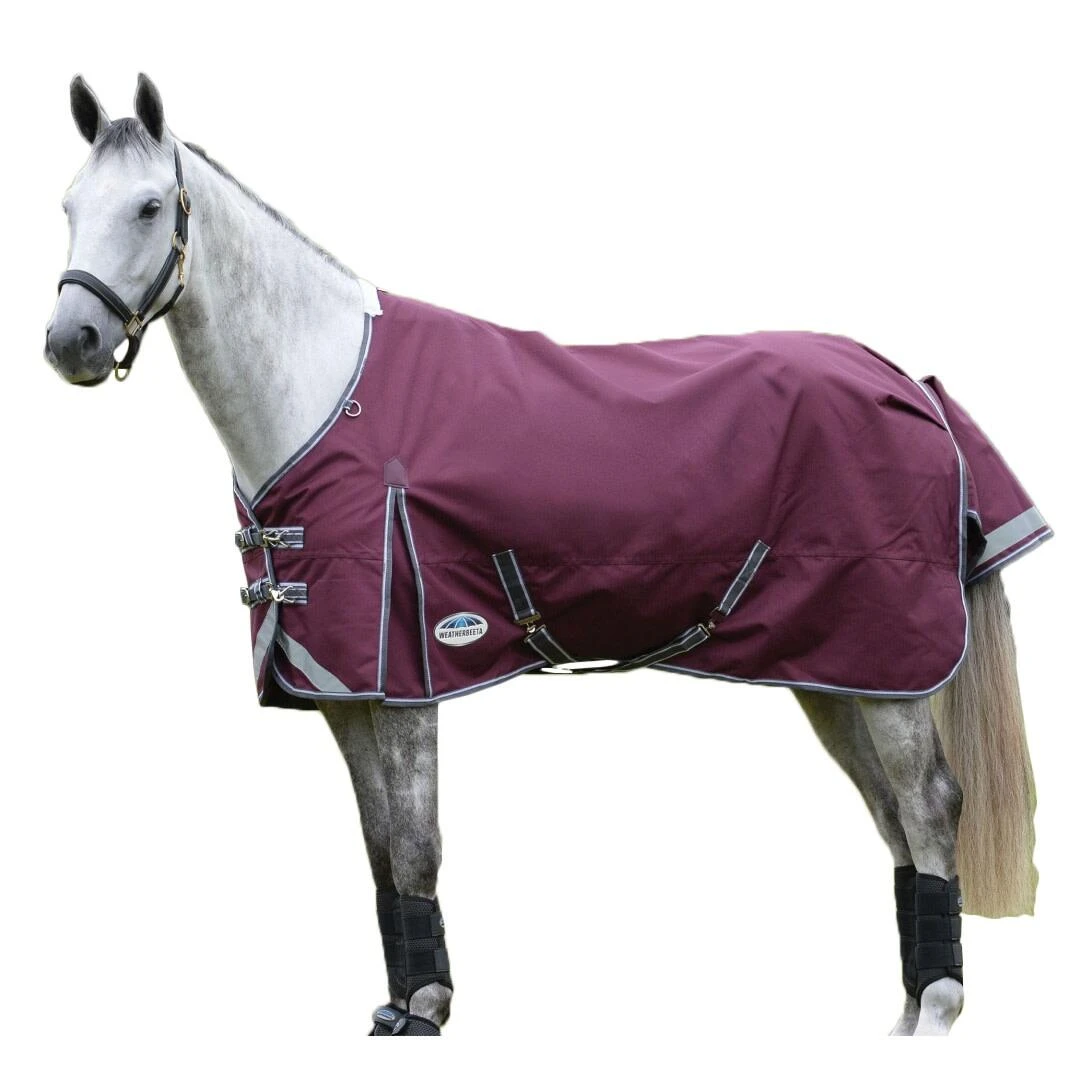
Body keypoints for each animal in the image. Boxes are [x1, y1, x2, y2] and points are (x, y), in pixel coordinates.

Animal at [44, 74, 1048, 1037]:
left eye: (148, 206)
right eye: (66, 204)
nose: (70, 344)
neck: (325, 394)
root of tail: (906, 382)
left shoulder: (405, 677)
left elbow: (416, 843)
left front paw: (426, 1013)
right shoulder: (344, 690)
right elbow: (378, 849)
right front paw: (398, 1008)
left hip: (890, 667)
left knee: (929, 805)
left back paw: (938, 1011)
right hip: (834, 669)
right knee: (894, 820)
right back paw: (909, 1011)